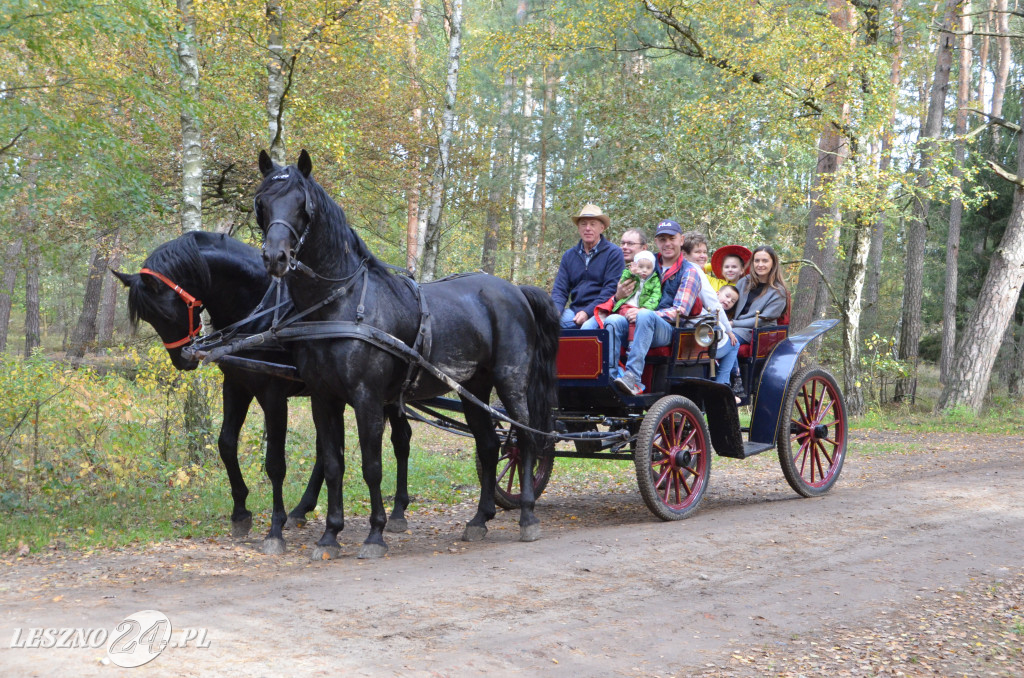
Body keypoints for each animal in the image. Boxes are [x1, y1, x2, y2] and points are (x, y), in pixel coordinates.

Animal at [115, 231, 411, 557]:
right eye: (148, 317)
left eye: (164, 312)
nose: (183, 361)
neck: (258, 308)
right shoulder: (236, 385)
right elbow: (226, 444)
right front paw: (240, 513)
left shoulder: (273, 394)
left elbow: (275, 463)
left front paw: (275, 529)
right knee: (327, 452)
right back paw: (302, 509)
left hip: (387, 395)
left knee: (401, 440)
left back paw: (398, 512)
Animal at [256, 151, 561, 561]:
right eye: (263, 203)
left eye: (302, 205)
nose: (275, 257)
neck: (339, 305)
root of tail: (515, 290)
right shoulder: (323, 398)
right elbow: (334, 464)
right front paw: (330, 535)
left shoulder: (367, 398)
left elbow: (372, 466)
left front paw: (375, 534)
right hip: (474, 389)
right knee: (489, 445)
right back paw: (479, 519)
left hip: (511, 380)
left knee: (523, 440)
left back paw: (527, 516)